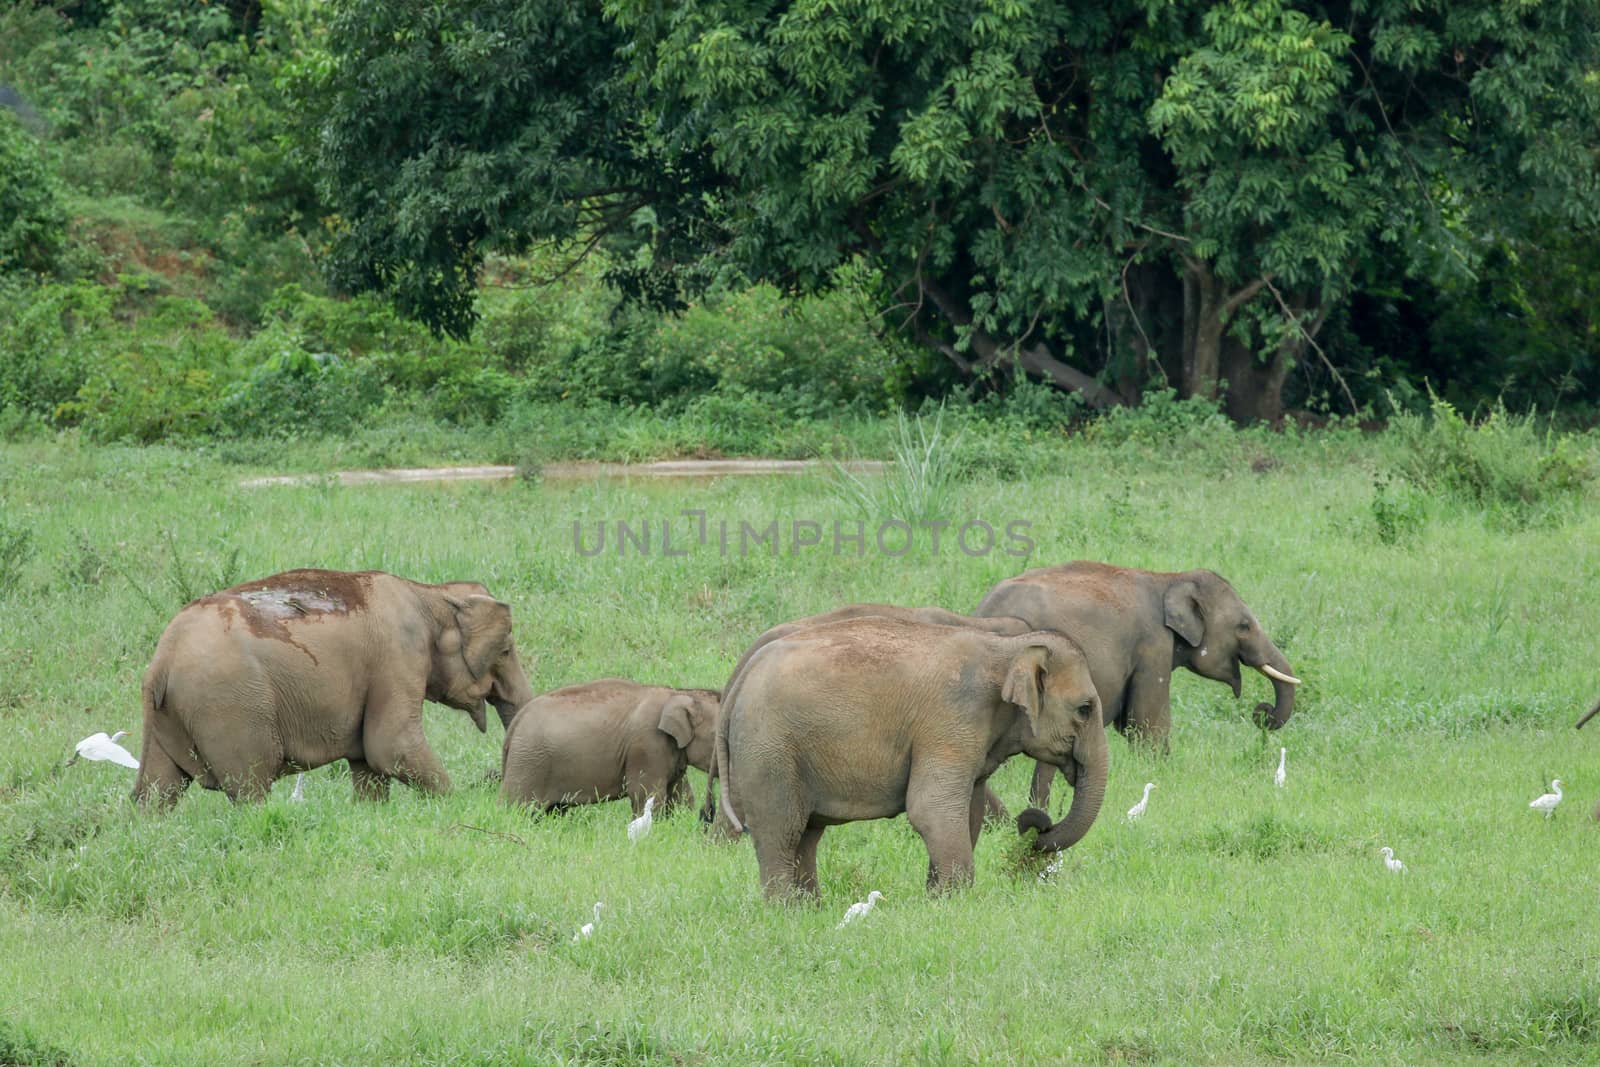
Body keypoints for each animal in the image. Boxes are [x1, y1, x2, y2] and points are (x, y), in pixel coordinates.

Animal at [131, 566, 531, 809]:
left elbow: (369, 762)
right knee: (249, 788)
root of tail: (162, 660)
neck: (430, 594)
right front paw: (456, 805)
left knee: (157, 790)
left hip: (171, 716)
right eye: (505, 651)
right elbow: (391, 746)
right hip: (230, 709)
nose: (493, 784)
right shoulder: (397, 657)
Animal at [505, 675, 720, 819]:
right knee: (515, 805)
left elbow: (680, 793)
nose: (707, 814)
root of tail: (516, 721)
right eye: (716, 736)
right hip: (528, 763)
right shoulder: (647, 746)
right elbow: (645, 793)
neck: (679, 693)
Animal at [716, 617, 1107, 902]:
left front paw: (936, 898)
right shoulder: (949, 722)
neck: (1007, 648)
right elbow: (931, 808)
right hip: (769, 751)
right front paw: (956, 902)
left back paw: (811, 908)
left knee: (807, 835)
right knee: (782, 830)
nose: (1035, 827)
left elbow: (969, 811)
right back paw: (785, 910)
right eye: (1085, 709)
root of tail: (740, 677)